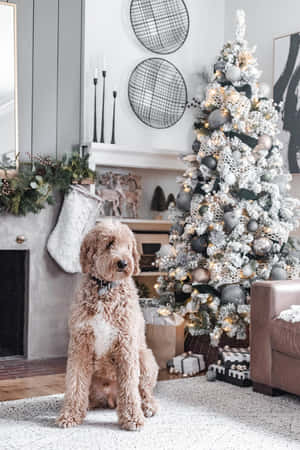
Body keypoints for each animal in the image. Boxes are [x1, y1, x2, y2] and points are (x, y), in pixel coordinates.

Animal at [56, 220, 159, 430]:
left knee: (143, 391)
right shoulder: (81, 343)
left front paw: (132, 418)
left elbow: (129, 387)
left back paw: (148, 407)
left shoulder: (126, 344)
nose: (123, 263)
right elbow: (75, 383)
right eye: (109, 243)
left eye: (128, 246)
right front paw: (69, 415)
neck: (106, 287)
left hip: (145, 358)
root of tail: (110, 399)